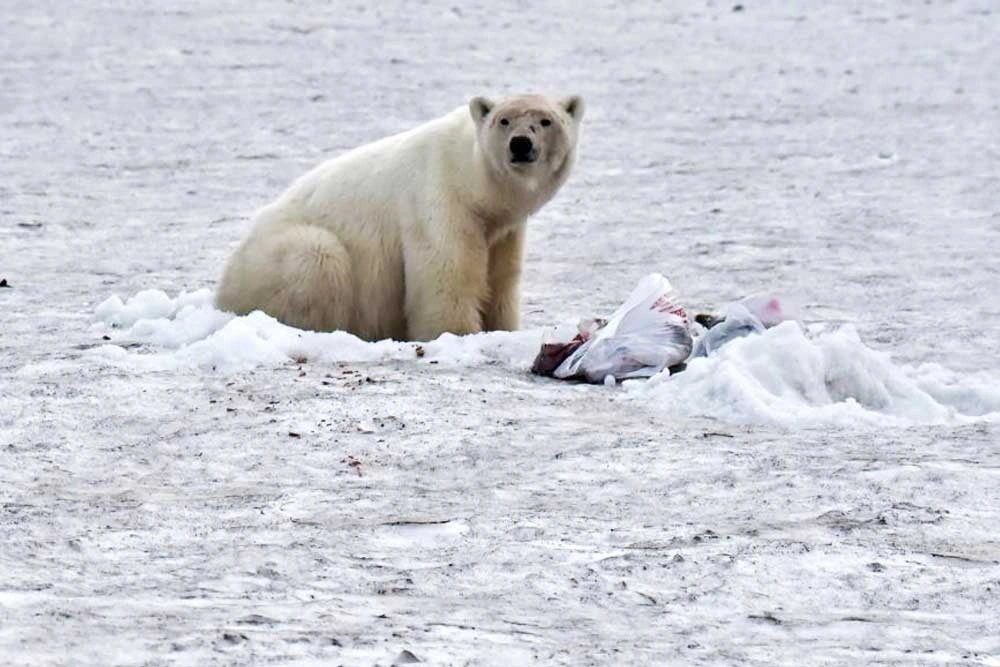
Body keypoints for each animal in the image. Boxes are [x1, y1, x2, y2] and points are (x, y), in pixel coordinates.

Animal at [215, 94, 584, 342]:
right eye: (504, 120)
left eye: (546, 120)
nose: (520, 144)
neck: (471, 178)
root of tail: (224, 288)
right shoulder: (439, 199)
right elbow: (448, 272)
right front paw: (455, 333)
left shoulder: (503, 229)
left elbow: (502, 276)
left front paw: (501, 329)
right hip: (279, 255)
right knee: (316, 256)